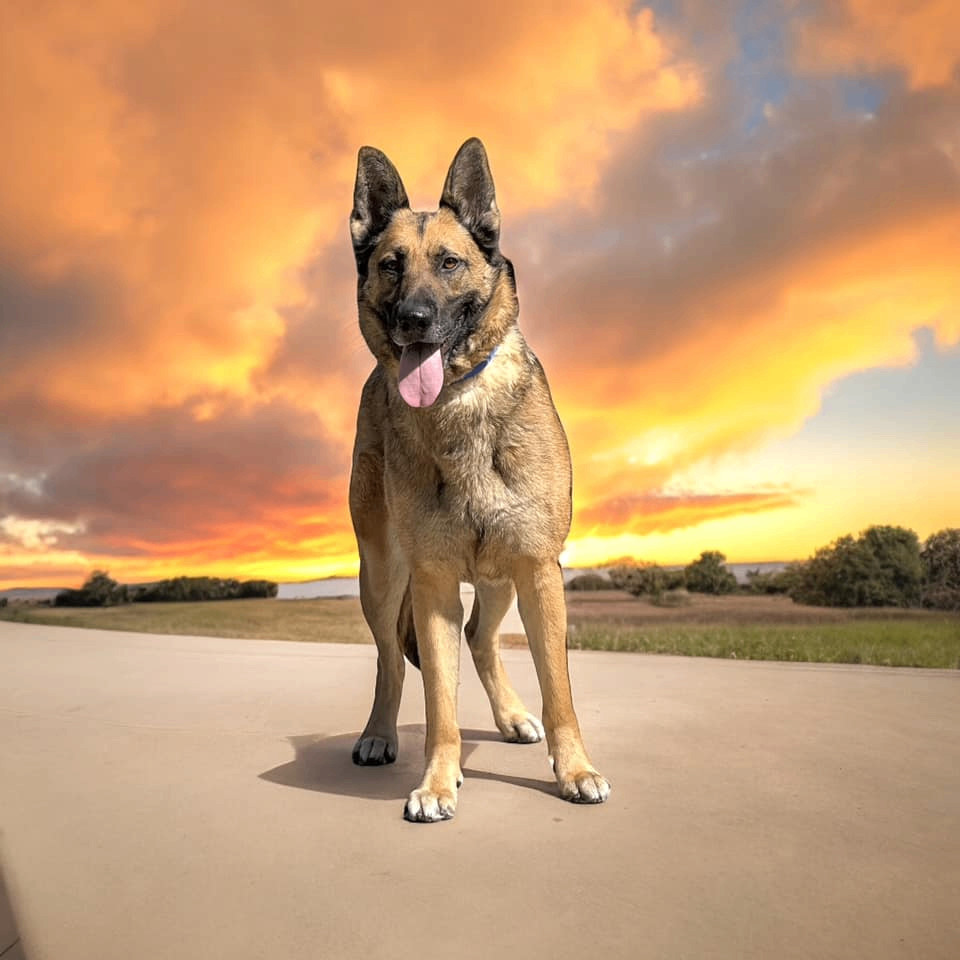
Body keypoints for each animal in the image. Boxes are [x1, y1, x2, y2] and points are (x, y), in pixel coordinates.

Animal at [348, 135, 612, 820]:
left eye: (448, 263)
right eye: (391, 265)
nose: (414, 318)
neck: (458, 400)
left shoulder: (539, 571)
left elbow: (559, 691)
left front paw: (575, 771)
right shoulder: (434, 581)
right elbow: (438, 703)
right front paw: (438, 781)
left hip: (500, 579)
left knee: (480, 636)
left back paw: (513, 716)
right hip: (383, 576)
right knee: (390, 660)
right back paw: (378, 735)